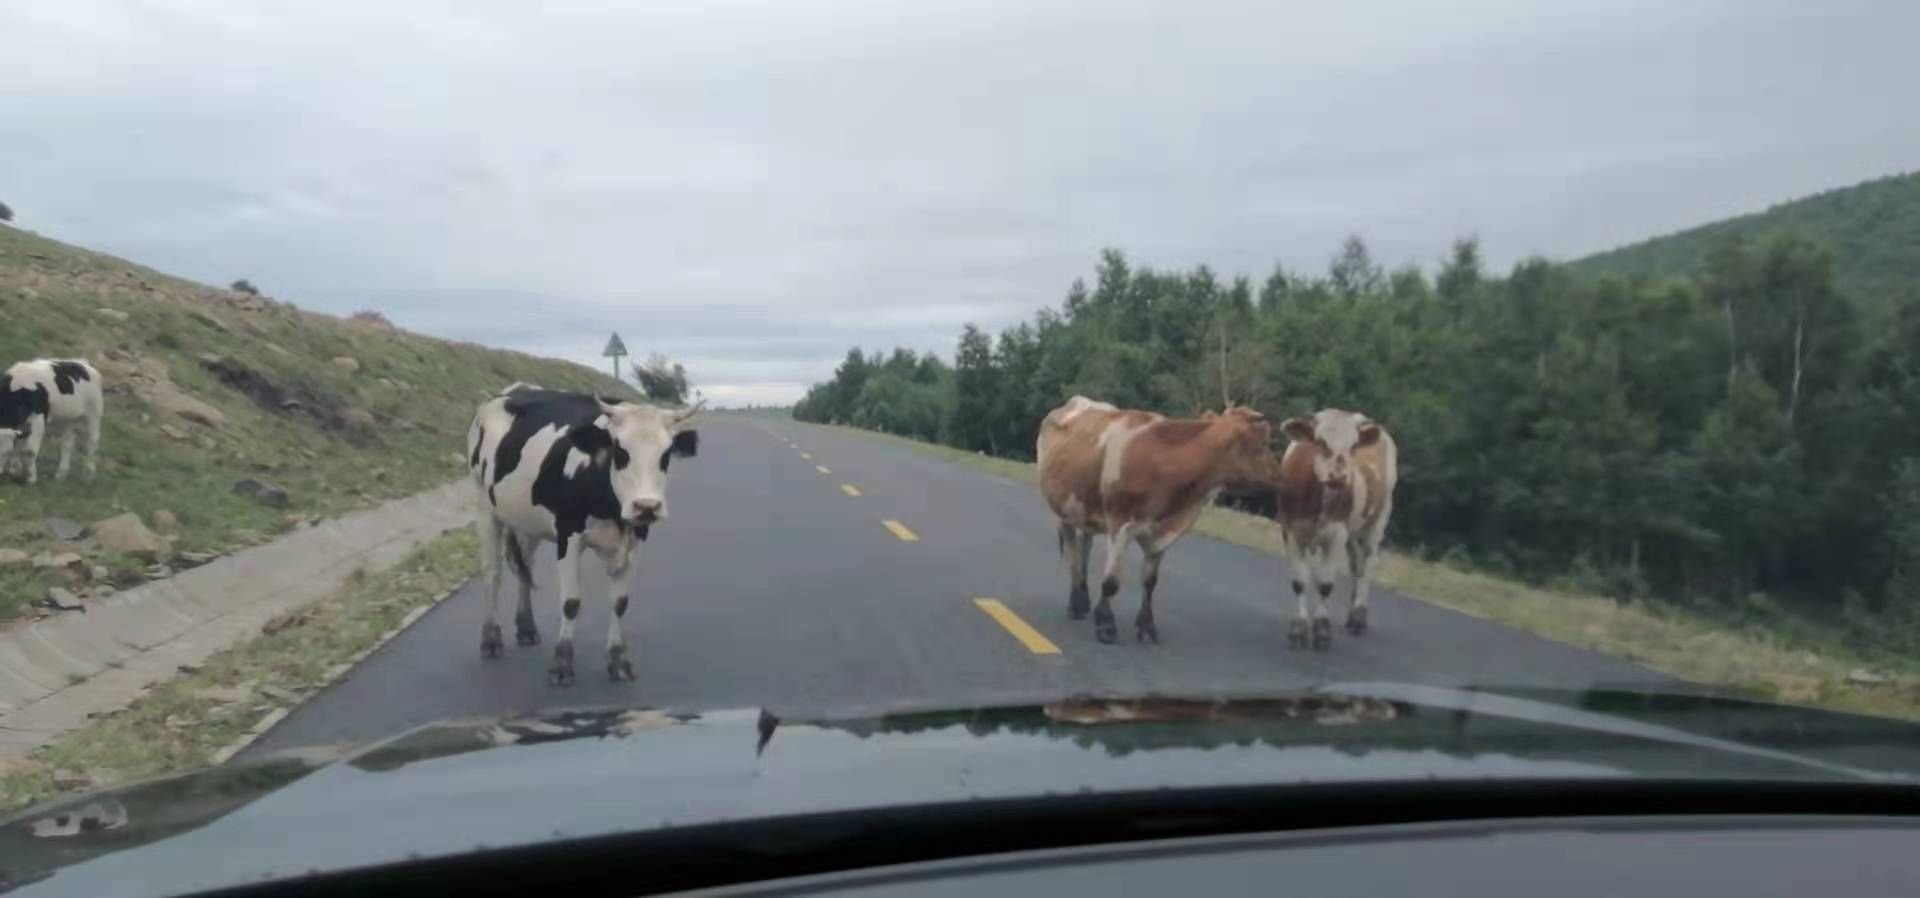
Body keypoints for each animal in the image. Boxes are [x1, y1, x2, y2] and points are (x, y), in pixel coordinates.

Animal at [464, 387, 698, 686]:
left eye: (666, 454)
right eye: (620, 450)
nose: (647, 506)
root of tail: (512, 391)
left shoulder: (636, 541)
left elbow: (620, 603)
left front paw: (618, 661)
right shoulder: (568, 535)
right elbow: (571, 602)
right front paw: (562, 663)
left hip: (527, 521)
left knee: (524, 568)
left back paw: (526, 627)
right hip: (484, 507)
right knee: (493, 574)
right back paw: (491, 639)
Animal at [1036, 397, 1274, 640]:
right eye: (1264, 443)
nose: (1279, 476)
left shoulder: (1163, 533)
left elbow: (1150, 582)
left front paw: (1147, 626)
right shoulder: (1120, 524)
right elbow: (1111, 582)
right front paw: (1106, 624)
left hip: (1085, 512)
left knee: (1085, 547)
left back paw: (1083, 600)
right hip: (1063, 512)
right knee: (1073, 556)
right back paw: (1076, 604)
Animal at [1274, 408, 1397, 652]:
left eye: (1354, 446)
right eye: (1321, 441)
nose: (1339, 476)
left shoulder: (1337, 534)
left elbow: (1325, 584)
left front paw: (1322, 628)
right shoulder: (1290, 530)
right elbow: (1300, 581)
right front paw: (1299, 628)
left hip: (1377, 521)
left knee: (1368, 566)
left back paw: (1359, 615)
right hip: (1352, 536)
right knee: (1357, 566)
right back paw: (1351, 613)